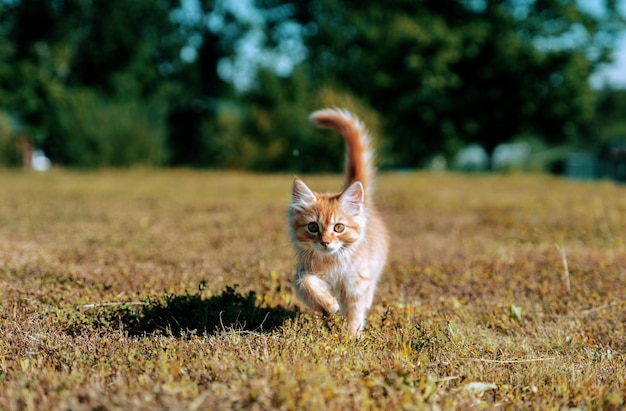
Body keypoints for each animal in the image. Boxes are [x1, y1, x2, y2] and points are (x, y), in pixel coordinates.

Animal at [286, 108, 386, 338]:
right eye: (313, 227)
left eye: (338, 227)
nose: (325, 242)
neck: (333, 262)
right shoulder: (304, 272)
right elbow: (307, 285)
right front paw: (329, 305)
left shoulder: (357, 282)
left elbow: (354, 312)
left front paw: (350, 336)